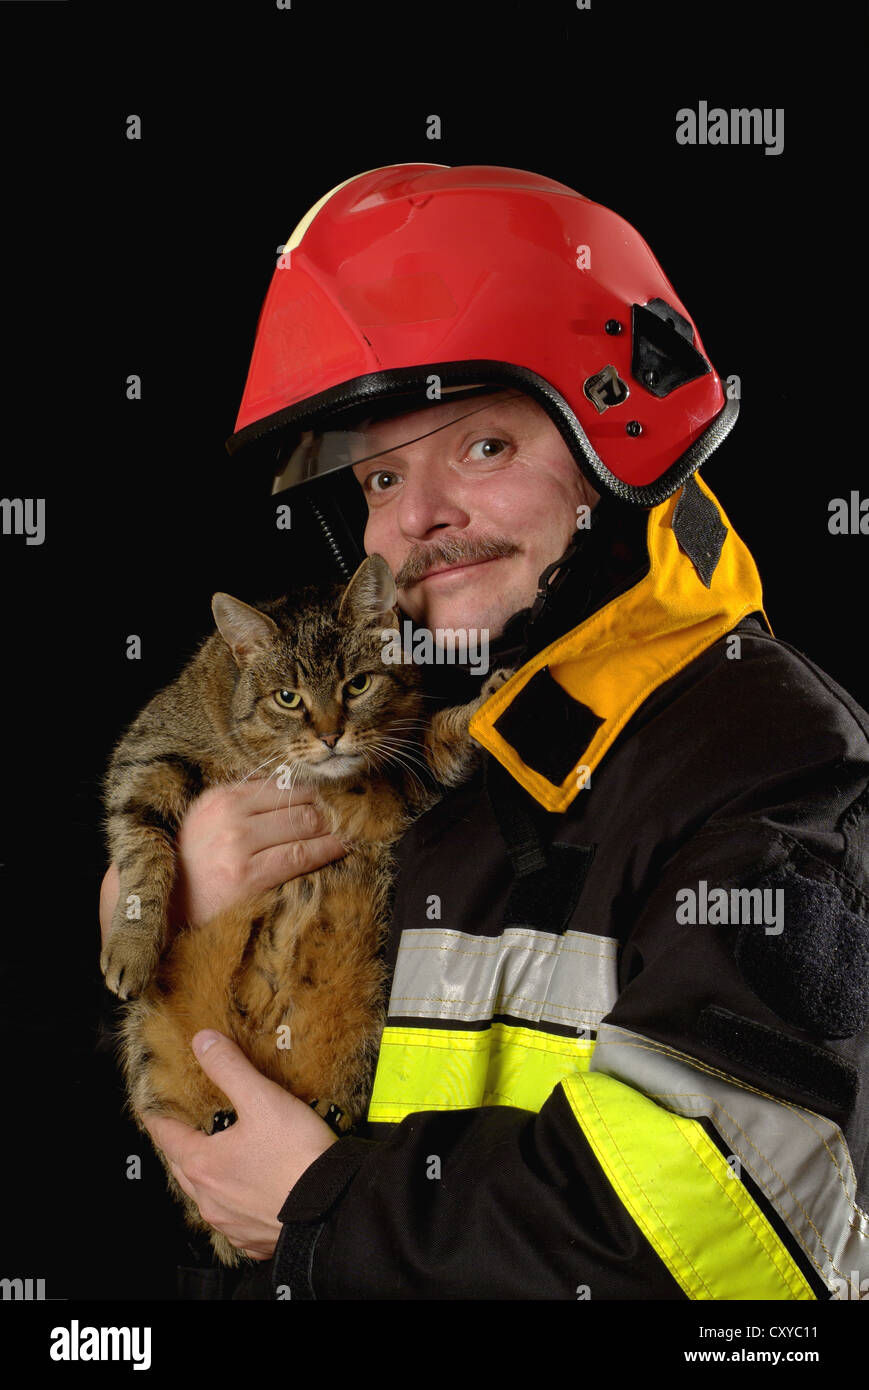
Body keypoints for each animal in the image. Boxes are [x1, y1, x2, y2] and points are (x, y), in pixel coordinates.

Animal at [101, 547, 506, 1267]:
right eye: (288, 697)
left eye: (358, 685)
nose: (329, 736)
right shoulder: (146, 757)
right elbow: (142, 846)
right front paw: (130, 941)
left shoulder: (392, 787)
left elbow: (432, 746)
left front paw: (479, 711)